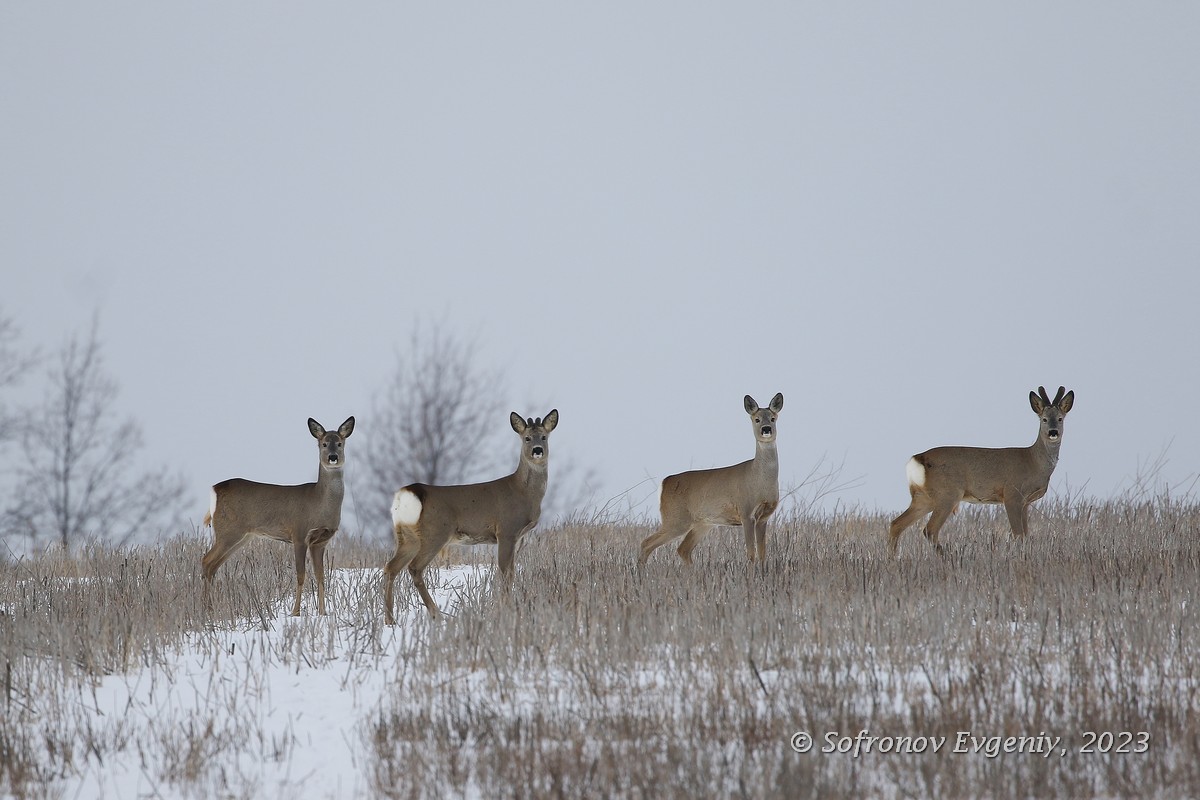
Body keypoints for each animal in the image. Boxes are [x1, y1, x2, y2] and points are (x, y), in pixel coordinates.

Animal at [199, 417, 350, 618]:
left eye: (340, 443)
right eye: (324, 444)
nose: (333, 457)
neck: (319, 503)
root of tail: (214, 490)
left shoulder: (320, 542)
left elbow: (321, 576)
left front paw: (323, 612)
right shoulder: (299, 534)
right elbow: (300, 575)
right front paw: (295, 612)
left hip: (240, 536)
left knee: (213, 566)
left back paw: (209, 609)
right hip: (228, 531)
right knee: (206, 561)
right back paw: (205, 609)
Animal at [381, 410, 559, 623]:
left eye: (544, 437)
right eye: (527, 438)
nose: (537, 450)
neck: (524, 492)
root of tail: (408, 493)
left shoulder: (518, 537)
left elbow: (511, 572)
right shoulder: (506, 530)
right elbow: (505, 572)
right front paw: (505, 609)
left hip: (407, 536)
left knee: (390, 567)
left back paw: (390, 620)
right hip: (436, 532)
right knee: (414, 568)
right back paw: (437, 614)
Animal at [638, 393, 787, 563]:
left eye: (773, 418)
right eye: (757, 419)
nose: (766, 429)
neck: (760, 482)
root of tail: (664, 482)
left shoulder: (764, 517)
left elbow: (762, 554)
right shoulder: (746, 511)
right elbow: (750, 553)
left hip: (702, 523)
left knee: (683, 549)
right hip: (675, 519)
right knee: (646, 543)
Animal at [888, 383, 1075, 554]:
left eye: (1060, 418)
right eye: (1044, 419)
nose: (1053, 432)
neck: (1033, 461)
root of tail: (917, 458)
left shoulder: (1026, 502)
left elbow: (1025, 535)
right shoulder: (1012, 494)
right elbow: (1018, 534)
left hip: (924, 497)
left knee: (896, 523)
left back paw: (893, 558)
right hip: (947, 493)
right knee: (929, 529)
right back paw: (947, 557)